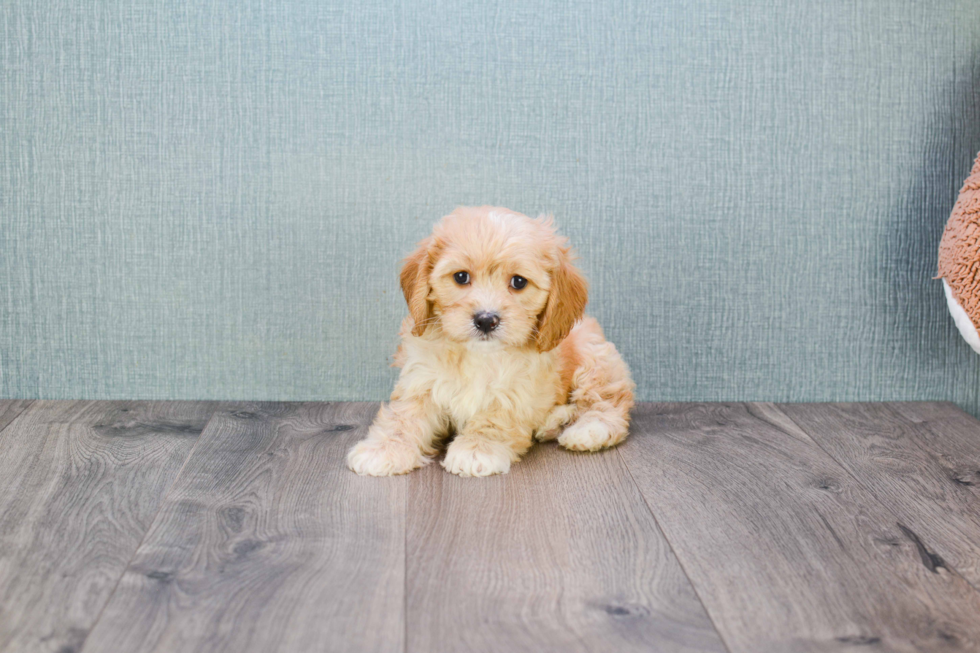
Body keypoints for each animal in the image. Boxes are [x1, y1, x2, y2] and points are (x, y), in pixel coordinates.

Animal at [346, 206, 636, 476]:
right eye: (461, 277)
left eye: (518, 282)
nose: (486, 320)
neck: (477, 355)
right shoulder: (421, 379)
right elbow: (404, 415)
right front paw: (384, 449)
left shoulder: (517, 389)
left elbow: (495, 417)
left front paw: (476, 449)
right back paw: (554, 421)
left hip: (595, 359)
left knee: (608, 401)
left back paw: (587, 430)